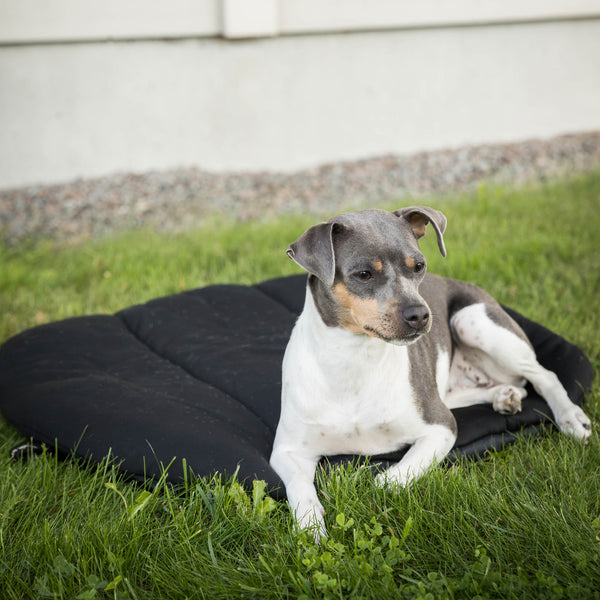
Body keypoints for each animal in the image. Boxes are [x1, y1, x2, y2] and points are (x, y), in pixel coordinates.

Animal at [270, 206, 592, 540]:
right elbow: (300, 488)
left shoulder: (441, 426)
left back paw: (570, 418)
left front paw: (380, 486)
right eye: (364, 274)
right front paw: (310, 527)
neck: (354, 359)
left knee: (543, 376)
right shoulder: (286, 451)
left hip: (472, 320)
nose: (421, 315)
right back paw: (505, 396)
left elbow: (392, 478)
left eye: (418, 266)